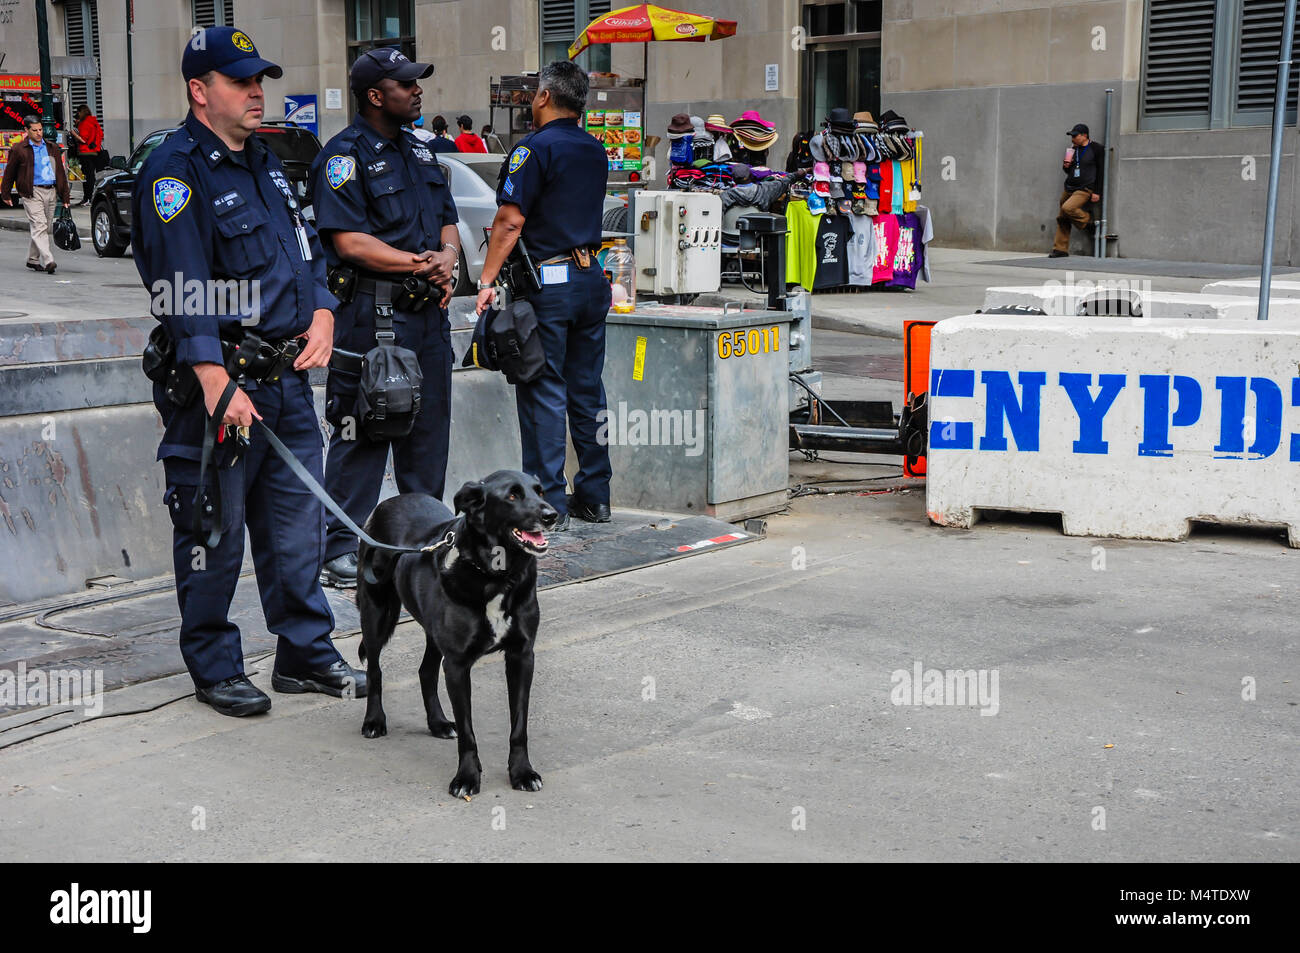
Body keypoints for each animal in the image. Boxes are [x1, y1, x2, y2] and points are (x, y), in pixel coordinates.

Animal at [358, 468, 556, 795]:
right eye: (512, 495)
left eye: (540, 491)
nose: (552, 515)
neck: (495, 574)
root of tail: (389, 501)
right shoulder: (457, 665)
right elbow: (467, 733)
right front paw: (467, 778)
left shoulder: (522, 656)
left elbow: (519, 726)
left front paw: (522, 772)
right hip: (376, 614)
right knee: (374, 670)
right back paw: (374, 720)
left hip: (431, 631)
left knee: (425, 671)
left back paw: (438, 723)